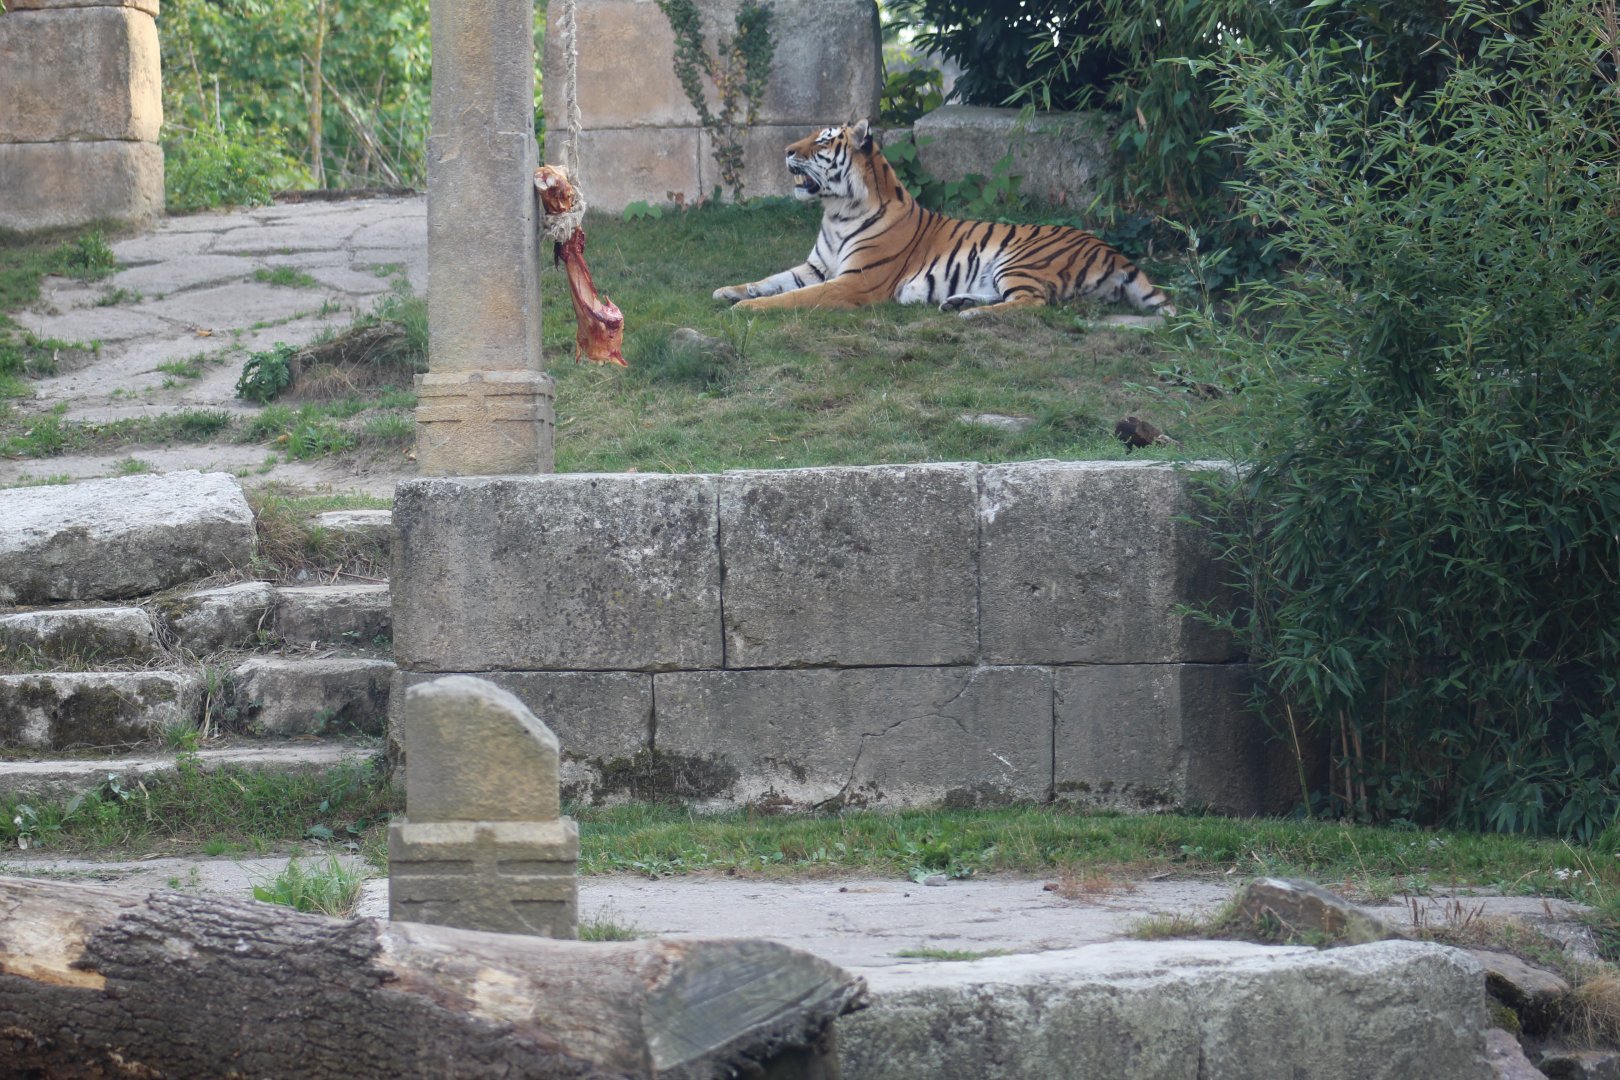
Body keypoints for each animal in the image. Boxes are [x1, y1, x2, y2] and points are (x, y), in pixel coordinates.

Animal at [713, 119, 1176, 319]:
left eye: (822, 142)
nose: (787, 149)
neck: (837, 212)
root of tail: (1112, 251)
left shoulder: (855, 281)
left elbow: (792, 297)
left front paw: (748, 308)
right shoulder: (816, 266)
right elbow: (773, 279)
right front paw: (728, 291)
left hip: (1019, 260)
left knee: (1034, 303)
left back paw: (970, 315)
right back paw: (957, 302)